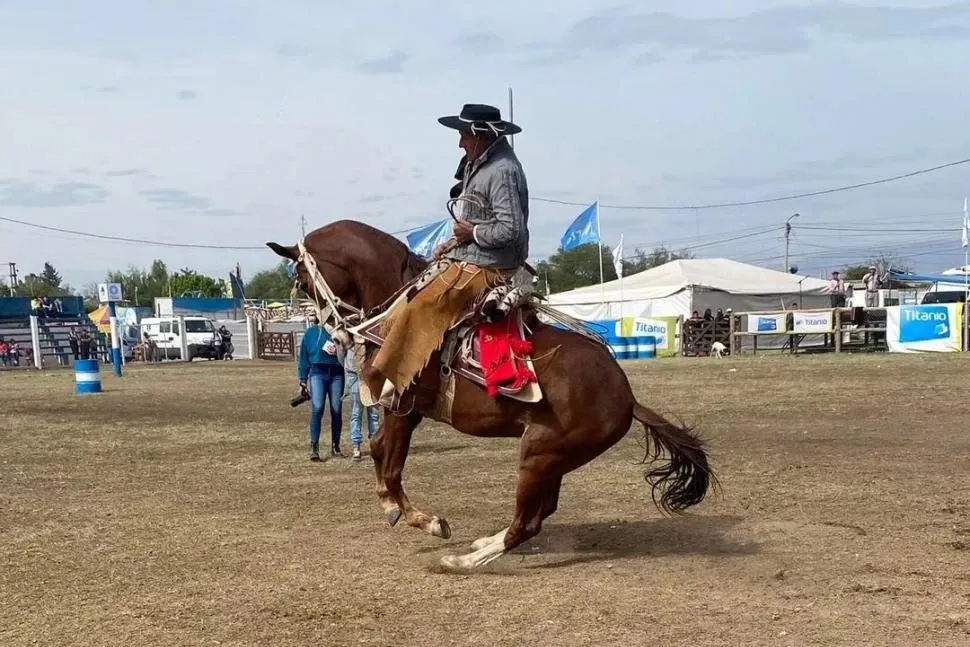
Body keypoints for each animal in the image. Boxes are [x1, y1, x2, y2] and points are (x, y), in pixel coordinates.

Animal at [268, 221, 716, 572]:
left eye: (303, 281)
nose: (331, 330)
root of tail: (627, 397)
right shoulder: (407, 412)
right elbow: (386, 460)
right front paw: (403, 510)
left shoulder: (401, 408)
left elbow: (386, 461)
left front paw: (419, 518)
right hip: (553, 458)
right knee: (541, 512)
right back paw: (483, 544)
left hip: (539, 454)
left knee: (527, 523)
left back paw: (463, 561)